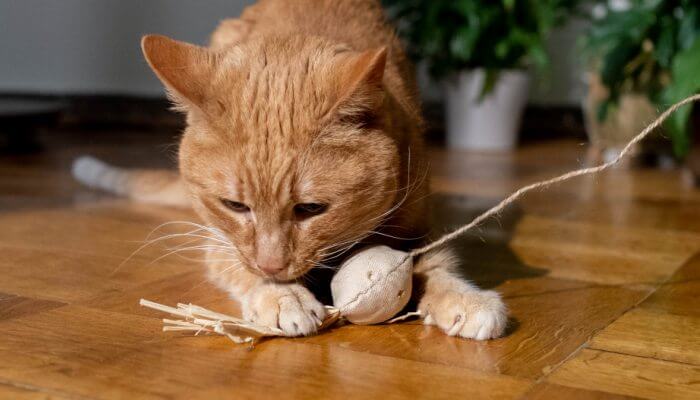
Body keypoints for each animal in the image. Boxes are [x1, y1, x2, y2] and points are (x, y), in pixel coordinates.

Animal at [74, 0, 506, 340]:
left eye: (311, 209)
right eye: (235, 206)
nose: (273, 266)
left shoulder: (419, 224)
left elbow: (437, 263)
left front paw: (465, 298)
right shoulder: (219, 241)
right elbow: (239, 266)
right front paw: (283, 296)